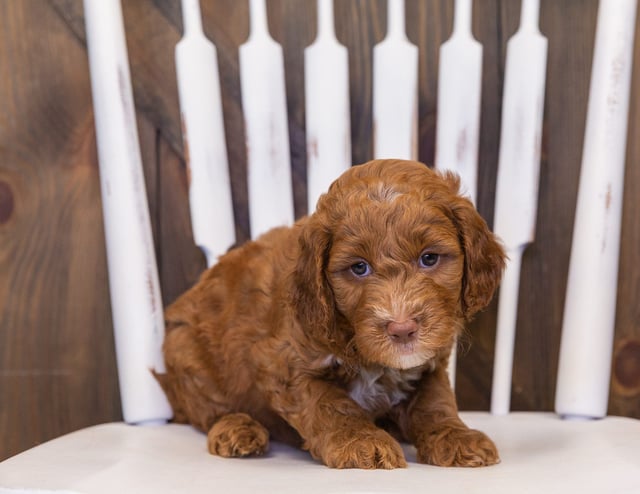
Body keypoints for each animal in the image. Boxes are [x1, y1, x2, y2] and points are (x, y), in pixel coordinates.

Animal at [159, 160, 504, 468]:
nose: (402, 328)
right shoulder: (287, 365)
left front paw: (455, 437)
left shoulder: (430, 364)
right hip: (186, 353)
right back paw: (236, 429)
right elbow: (329, 405)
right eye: (359, 267)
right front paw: (361, 442)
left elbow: (436, 401)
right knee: (210, 410)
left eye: (429, 258)